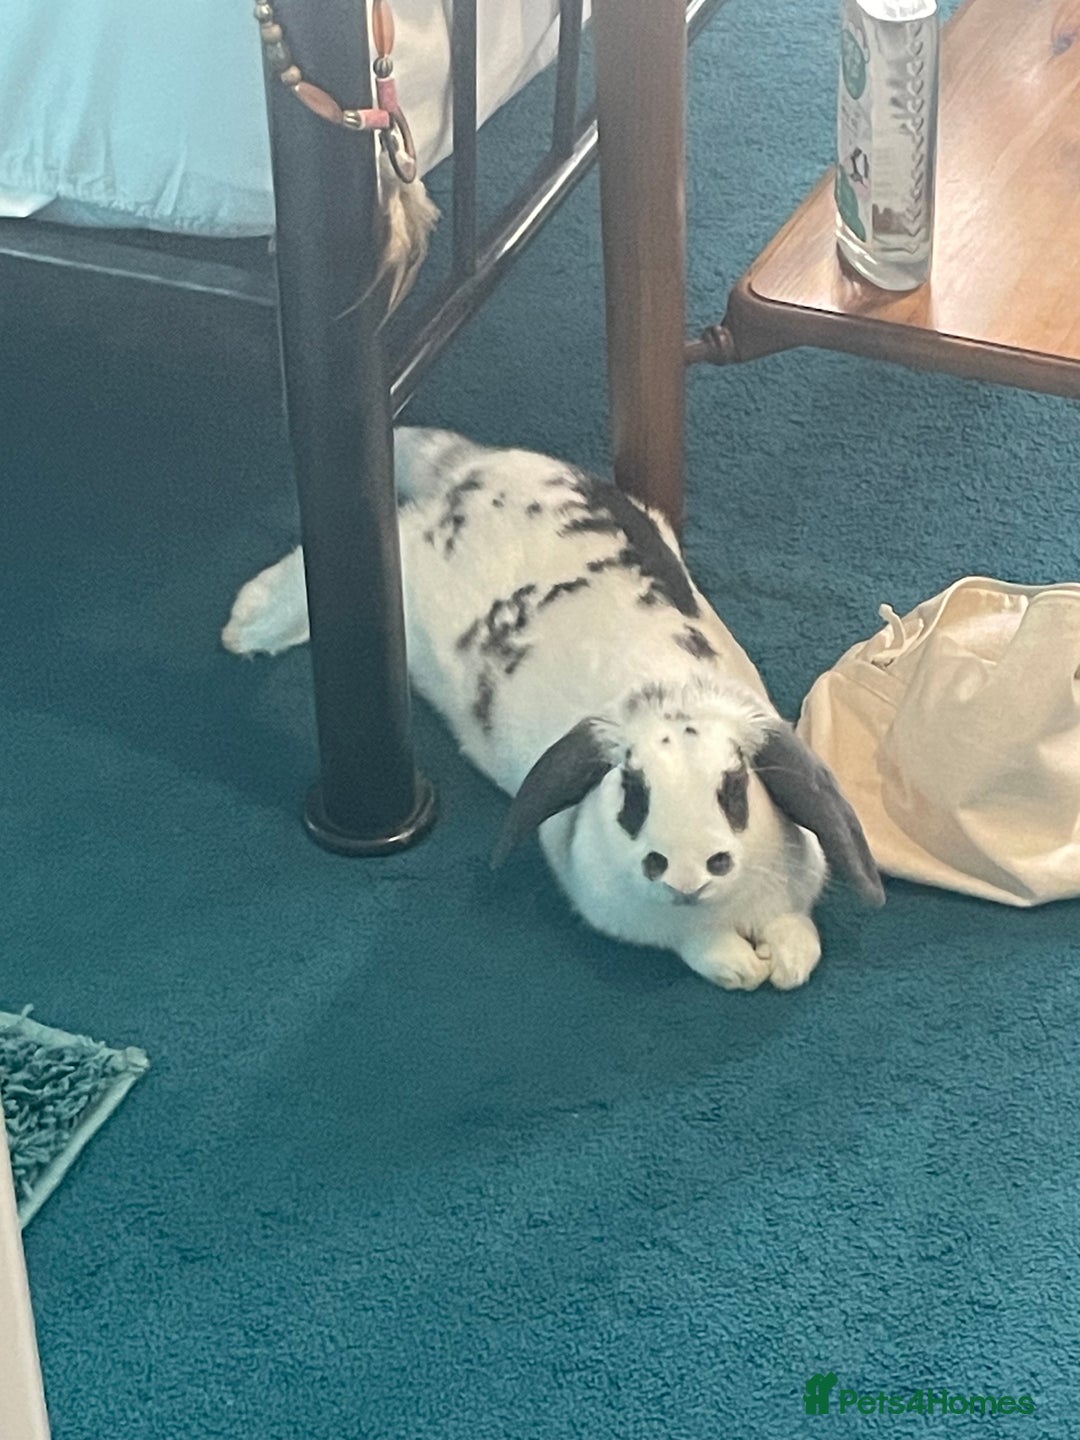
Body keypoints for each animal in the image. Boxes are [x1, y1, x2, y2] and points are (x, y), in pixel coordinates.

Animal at [223, 427, 884, 990]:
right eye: (631, 793)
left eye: (736, 787)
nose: (687, 869)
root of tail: (472, 473)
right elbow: (700, 947)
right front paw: (742, 968)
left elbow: (798, 932)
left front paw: (787, 964)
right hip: (404, 570)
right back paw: (247, 627)